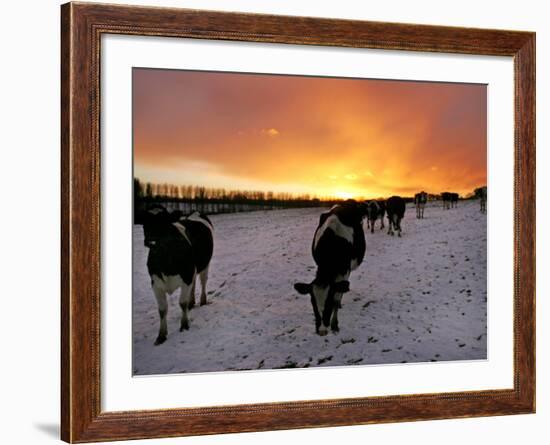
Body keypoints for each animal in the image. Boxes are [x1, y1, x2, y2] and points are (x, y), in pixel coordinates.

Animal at [143, 206, 215, 346]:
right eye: (145, 222)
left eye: (164, 222)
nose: (151, 241)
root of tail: (195, 212)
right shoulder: (155, 284)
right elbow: (162, 310)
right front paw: (161, 336)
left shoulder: (186, 276)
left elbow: (182, 302)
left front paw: (184, 325)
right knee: (194, 285)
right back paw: (192, 303)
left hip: (205, 264)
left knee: (203, 281)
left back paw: (202, 301)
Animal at [296, 199, 368, 334]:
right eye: (313, 303)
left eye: (328, 303)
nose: (322, 331)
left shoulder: (344, 270)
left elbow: (337, 297)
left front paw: (335, 323)